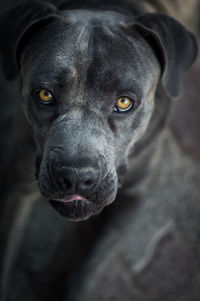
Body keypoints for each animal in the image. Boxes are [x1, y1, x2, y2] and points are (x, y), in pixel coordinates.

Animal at [0, 0, 199, 298]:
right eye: (45, 95)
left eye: (125, 102)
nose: (76, 177)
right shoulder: (16, 184)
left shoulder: (135, 194)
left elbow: (88, 271)